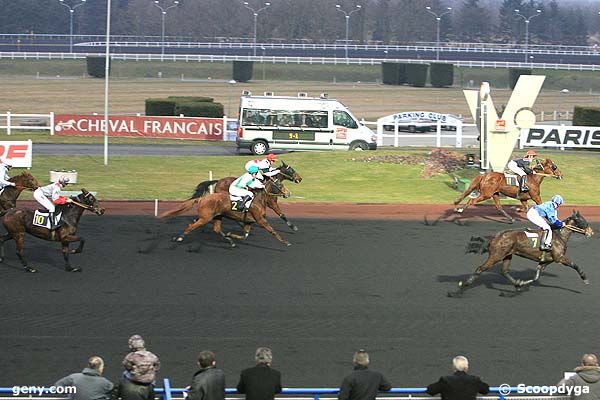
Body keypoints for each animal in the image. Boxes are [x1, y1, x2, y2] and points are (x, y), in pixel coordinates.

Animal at [159, 178, 290, 247]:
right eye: (279, 184)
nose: (289, 193)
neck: (258, 199)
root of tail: (202, 199)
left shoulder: (249, 222)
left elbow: (245, 235)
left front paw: (231, 235)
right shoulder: (261, 220)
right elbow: (272, 231)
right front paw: (285, 242)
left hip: (217, 216)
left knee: (216, 229)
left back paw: (230, 241)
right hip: (205, 218)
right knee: (191, 226)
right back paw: (179, 238)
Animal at [452, 209, 592, 296]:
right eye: (583, 220)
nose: (591, 232)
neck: (559, 235)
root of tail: (494, 238)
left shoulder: (546, 261)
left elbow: (536, 277)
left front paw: (522, 284)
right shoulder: (559, 258)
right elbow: (575, 265)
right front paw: (585, 278)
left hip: (507, 256)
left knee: (504, 271)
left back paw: (517, 284)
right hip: (496, 256)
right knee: (480, 269)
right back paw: (460, 287)